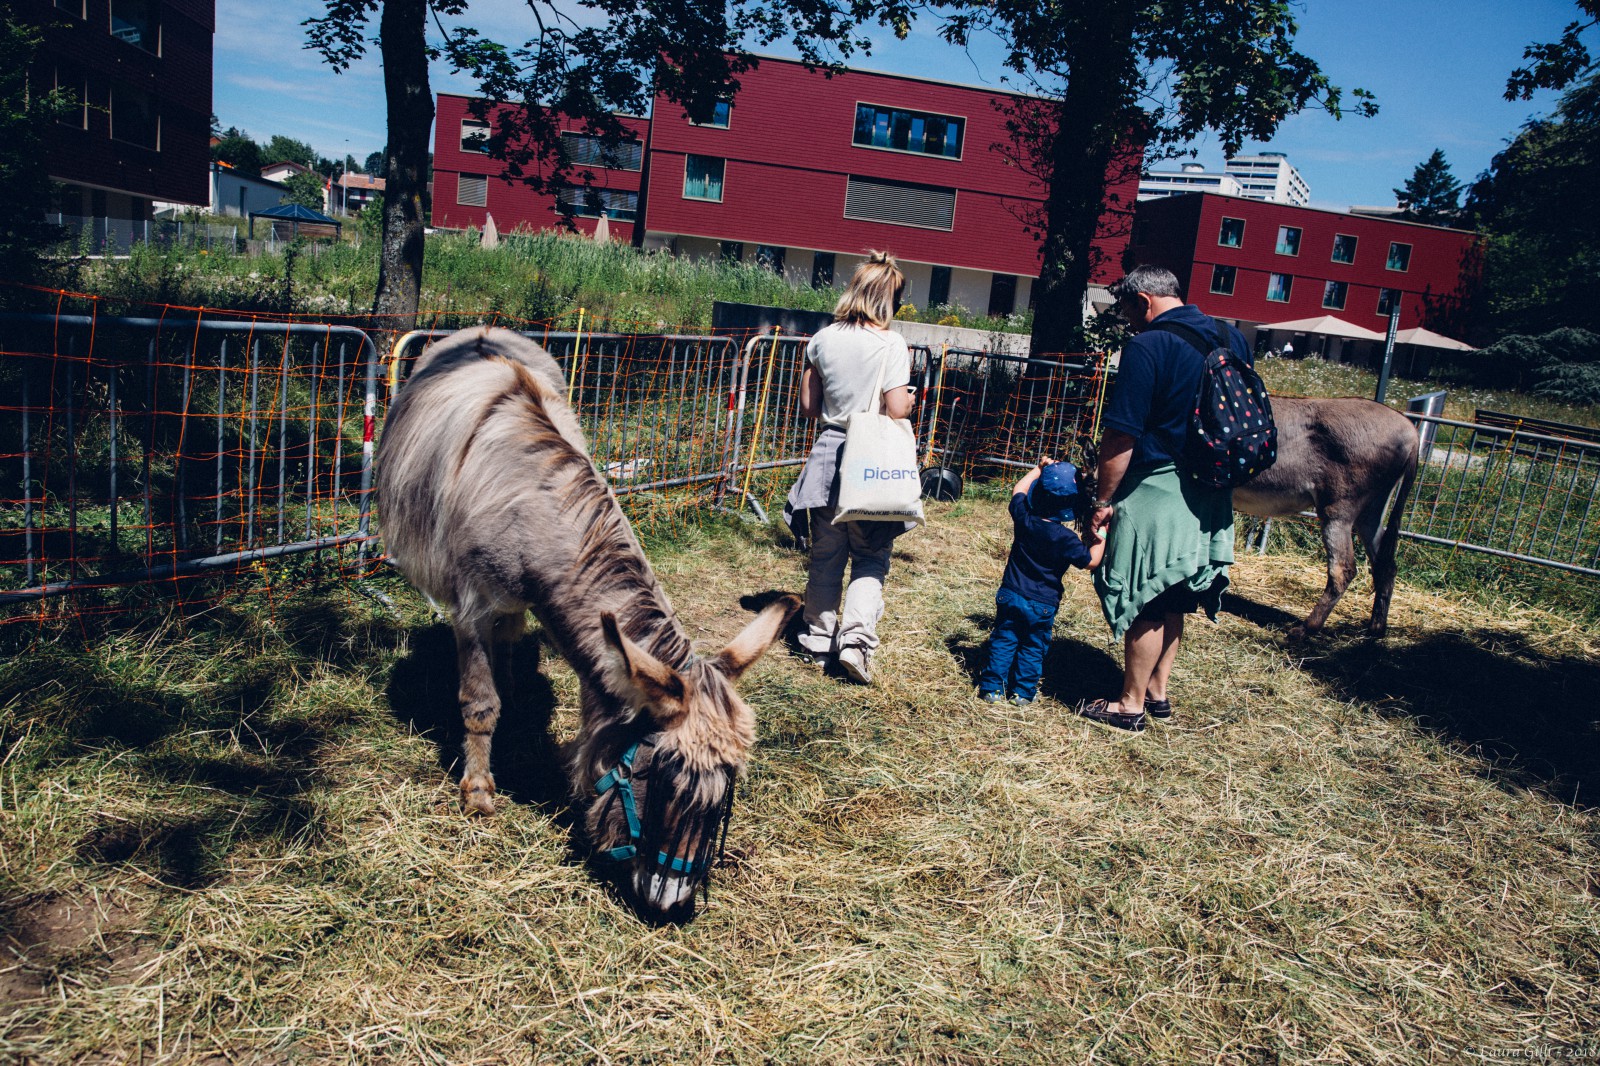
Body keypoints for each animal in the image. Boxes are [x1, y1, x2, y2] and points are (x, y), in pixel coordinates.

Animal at [377, 326, 800, 919]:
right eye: (661, 779)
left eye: (724, 800)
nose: (670, 905)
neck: (529, 510)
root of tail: (483, 331)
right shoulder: (471, 606)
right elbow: (479, 703)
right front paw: (478, 790)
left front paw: (526, 735)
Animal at [1232, 397, 1420, 640]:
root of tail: (1410, 430)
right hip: (1371, 513)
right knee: (1385, 566)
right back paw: (1375, 630)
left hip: (1337, 512)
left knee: (1343, 570)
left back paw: (1305, 629)